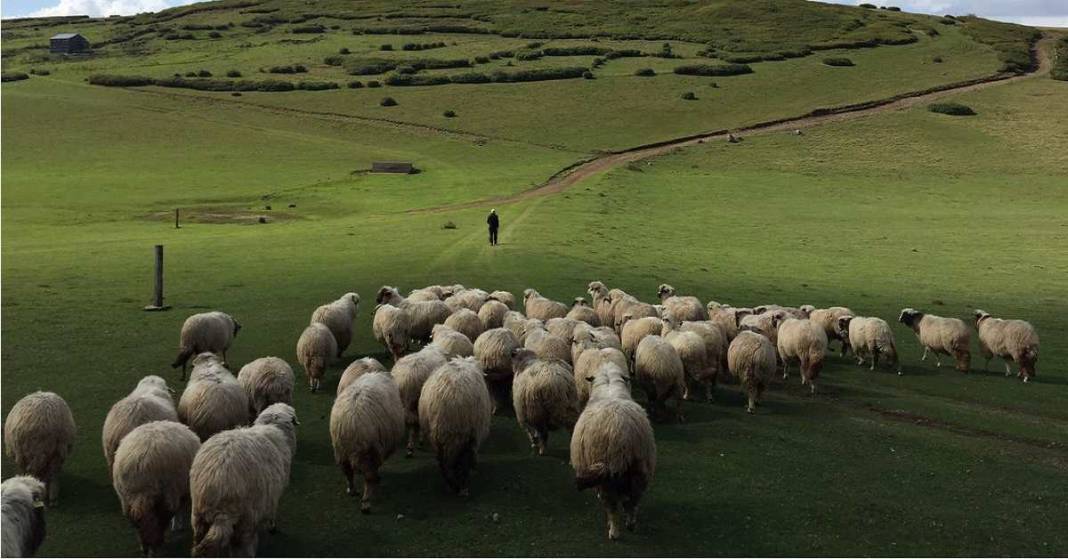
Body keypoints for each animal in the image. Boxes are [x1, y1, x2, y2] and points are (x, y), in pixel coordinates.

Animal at [190, 404, 299, 555]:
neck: (273, 428)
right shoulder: (273, 494)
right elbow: (273, 512)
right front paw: (272, 527)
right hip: (247, 519)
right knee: (242, 547)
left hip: (198, 517)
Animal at [328, 371, 403, 510]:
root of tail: (350, 421)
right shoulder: (377, 449)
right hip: (367, 451)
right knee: (368, 477)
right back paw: (366, 501)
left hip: (341, 450)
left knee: (347, 471)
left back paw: (352, 490)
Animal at [420, 356, 495, 495]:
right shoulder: (475, 434)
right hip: (468, 432)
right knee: (462, 459)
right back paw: (462, 486)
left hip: (437, 436)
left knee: (442, 461)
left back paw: (452, 483)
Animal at [572, 361, 653, 540]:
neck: (609, 387)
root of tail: (618, 433)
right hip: (640, 467)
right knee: (633, 500)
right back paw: (631, 523)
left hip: (606, 476)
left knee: (611, 506)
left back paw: (614, 531)